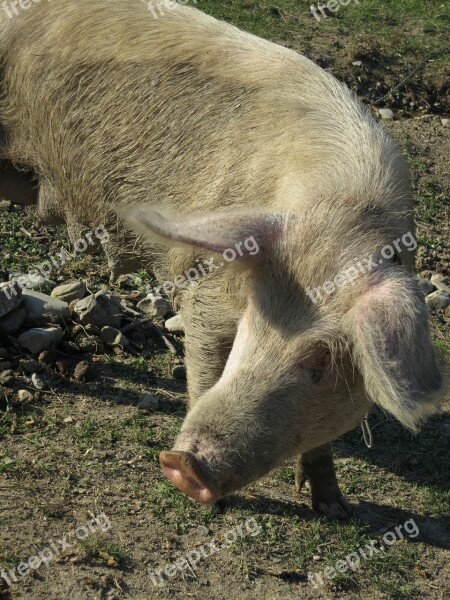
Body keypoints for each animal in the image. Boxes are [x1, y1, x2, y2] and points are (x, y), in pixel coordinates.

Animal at [0, 0, 444, 516]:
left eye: (322, 361)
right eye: (253, 320)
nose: (181, 465)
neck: (336, 215)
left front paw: (334, 508)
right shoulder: (202, 288)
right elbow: (203, 367)